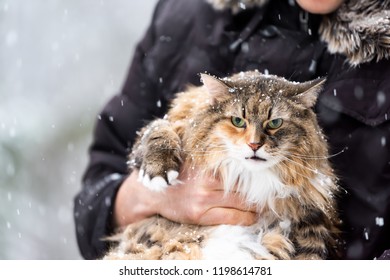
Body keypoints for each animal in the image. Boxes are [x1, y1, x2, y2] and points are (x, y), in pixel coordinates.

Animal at [103, 70, 342, 260]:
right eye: (238, 121)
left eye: (275, 123)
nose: (254, 144)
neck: (247, 176)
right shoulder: (174, 119)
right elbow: (158, 130)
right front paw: (158, 171)